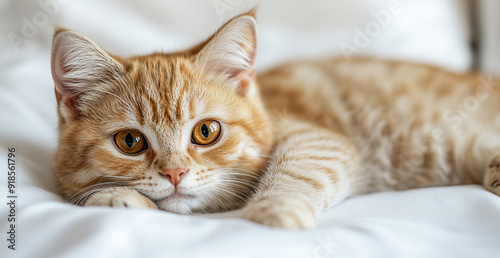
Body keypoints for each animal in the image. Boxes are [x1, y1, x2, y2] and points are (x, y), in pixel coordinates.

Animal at [50, 10, 500, 229]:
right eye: (130, 142)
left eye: (206, 132)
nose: (175, 174)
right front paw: (115, 196)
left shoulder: (317, 138)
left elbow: (298, 170)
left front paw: (273, 210)